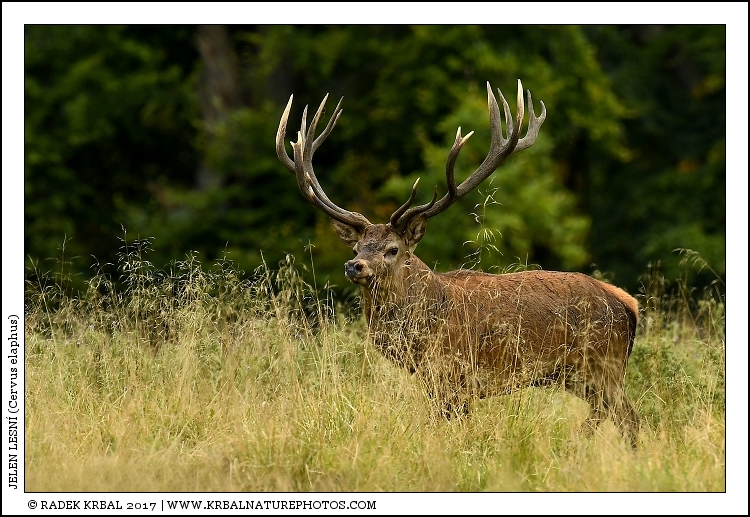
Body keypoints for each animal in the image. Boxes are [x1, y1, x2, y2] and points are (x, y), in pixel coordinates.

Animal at [275, 81, 641, 448]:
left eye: (393, 249)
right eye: (357, 247)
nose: (355, 266)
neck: (424, 325)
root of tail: (626, 303)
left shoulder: (454, 372)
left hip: (602, 361)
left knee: (626, 416)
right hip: (575, 374)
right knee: (613, 415)